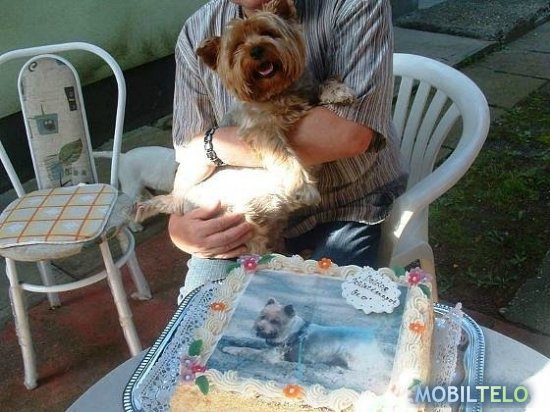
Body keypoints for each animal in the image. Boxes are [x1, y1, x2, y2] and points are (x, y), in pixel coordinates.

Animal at [222, 298, 386, 372]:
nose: (260, 327)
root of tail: (373, 340)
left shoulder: (269, 354)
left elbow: (248, 350)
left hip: (350, 356)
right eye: (262, 316)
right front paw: (231, 338)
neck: (292, 330)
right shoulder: (268, 343)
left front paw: (230, 349)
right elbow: (248, 341)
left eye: (275, 321)